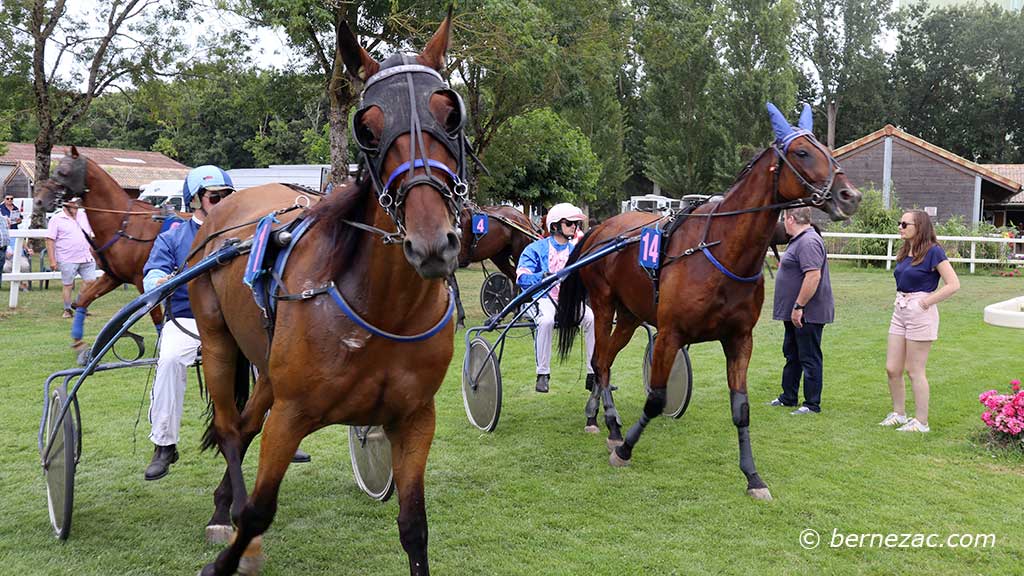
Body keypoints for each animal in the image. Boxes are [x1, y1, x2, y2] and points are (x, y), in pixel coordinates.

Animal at [192, 15, 464, 569]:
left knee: (245, 427)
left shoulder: (415, 418)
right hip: (218, 340)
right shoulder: (291, 413)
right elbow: (259, 511)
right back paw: (227, 517)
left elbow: (415, 527)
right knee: (231, 430)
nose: (432, 243)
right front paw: (232, 550)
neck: (384, 311)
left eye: (451, 114)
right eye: (368, 127)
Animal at [557, 105, 860, 500]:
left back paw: (600, 419)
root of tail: (599, 228)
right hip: (604, 302)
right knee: (600, 363)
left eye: (828, 150)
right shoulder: (670, 334)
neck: (721, 250)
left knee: (604, 361)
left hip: (629, 314)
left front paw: (753, 477)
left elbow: (741, 407)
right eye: (802, 153)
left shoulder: (739, 338)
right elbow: (656, 399)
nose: (850, 195)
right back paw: (611, 427)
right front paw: (625, 451)